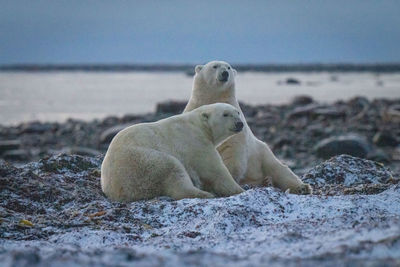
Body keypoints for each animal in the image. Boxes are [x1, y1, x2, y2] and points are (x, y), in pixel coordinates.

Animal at [101, 103, 244, 202]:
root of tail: (115, 189)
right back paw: (205, 194)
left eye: (237, 112)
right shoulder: (195, 142)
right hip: (142, 163)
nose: (240, 123)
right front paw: (239, 189)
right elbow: (214, 169)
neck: (199, 125)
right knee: (173, 172)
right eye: (225, 114)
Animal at [184, 60, 312, 195]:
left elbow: (233, 152)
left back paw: (301, 187)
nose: (225, 73)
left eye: (228, 67)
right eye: (215, 66)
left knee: (280, 170)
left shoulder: (237, 131)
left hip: (263, 154)